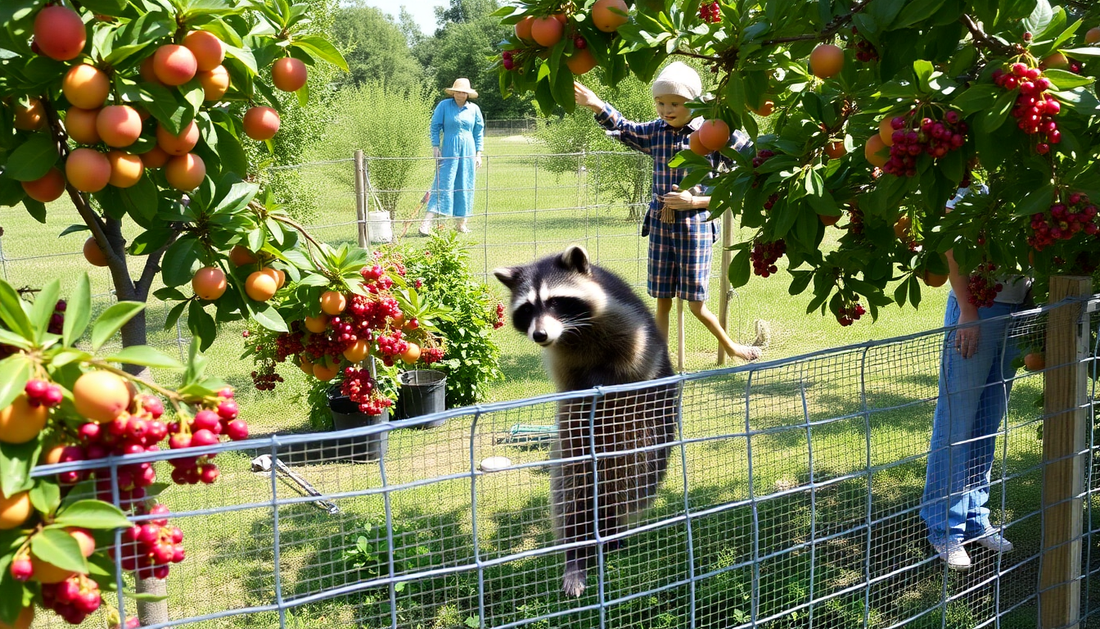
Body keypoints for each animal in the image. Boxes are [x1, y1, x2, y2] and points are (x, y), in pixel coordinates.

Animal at [494, 245, 678, 598]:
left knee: (631, 481)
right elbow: (568, 387)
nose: (539, 334)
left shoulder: (629, 322)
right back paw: (577, 554)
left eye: (555, 301)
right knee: (572, 491)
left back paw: (611, 530)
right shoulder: (561, 360)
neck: (571, 332)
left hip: (647, 429)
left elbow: (636, 364)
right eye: (527, 309)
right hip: (573, 443)